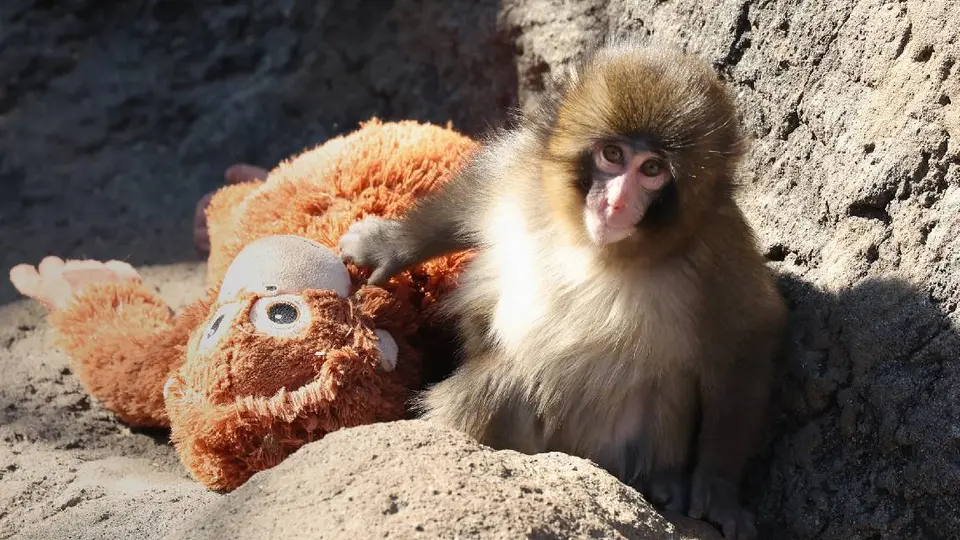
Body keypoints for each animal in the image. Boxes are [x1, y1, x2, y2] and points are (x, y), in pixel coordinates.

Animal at [339, 42, 786, 540]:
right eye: (612, 154)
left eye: (651, 169)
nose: (615, 202)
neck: (595, 247)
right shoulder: (523, 173)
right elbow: (470, 198)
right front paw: (389, 246)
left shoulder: (719, 251)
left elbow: (746, 339)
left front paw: (720, 488)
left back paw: (663, 483)